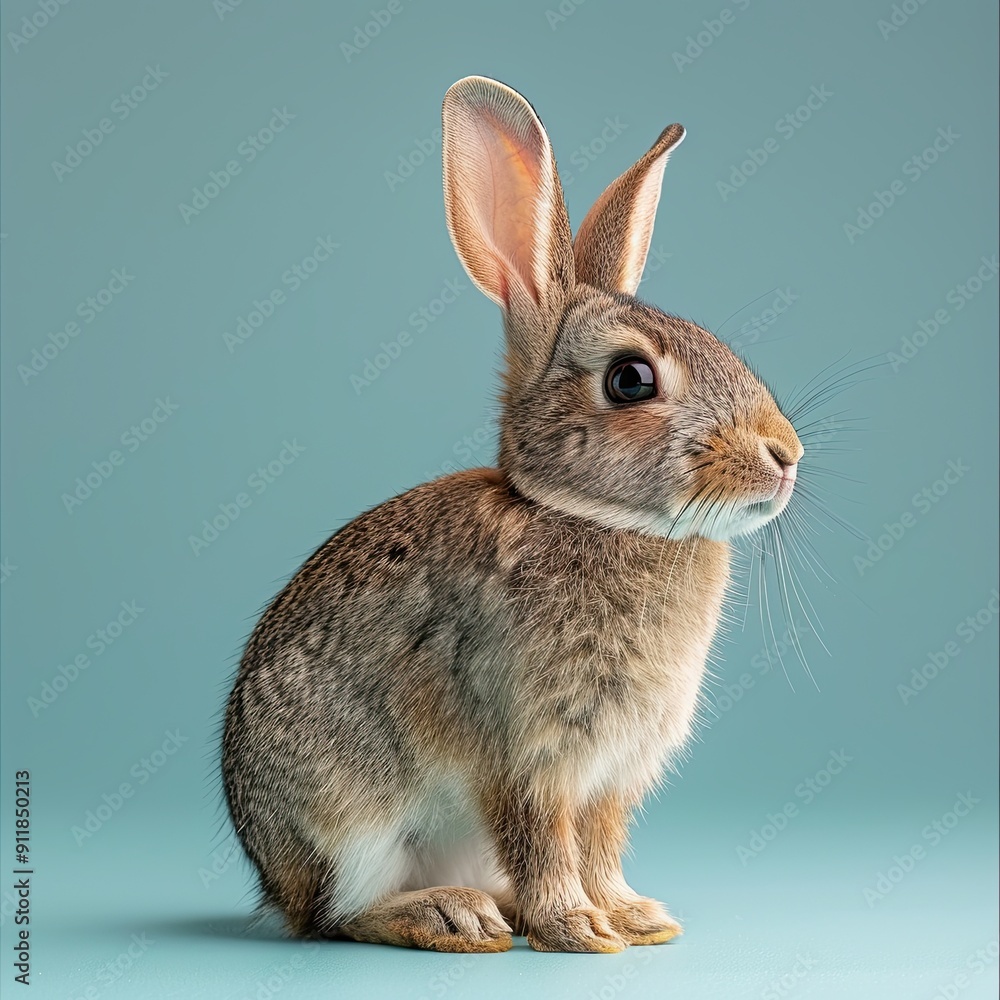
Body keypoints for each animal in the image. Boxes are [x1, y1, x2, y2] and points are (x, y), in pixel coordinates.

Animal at [221, 75, 803, 955]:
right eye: (630, 379)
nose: (786, 454)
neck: (594, 518)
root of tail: (272, 878)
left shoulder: (611, 775)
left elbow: (598, 842)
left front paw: (634, 916)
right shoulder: (525, 753)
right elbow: (543, 840)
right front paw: (579, 928)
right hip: (353, 822)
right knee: (337, 915)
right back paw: (453, 915)